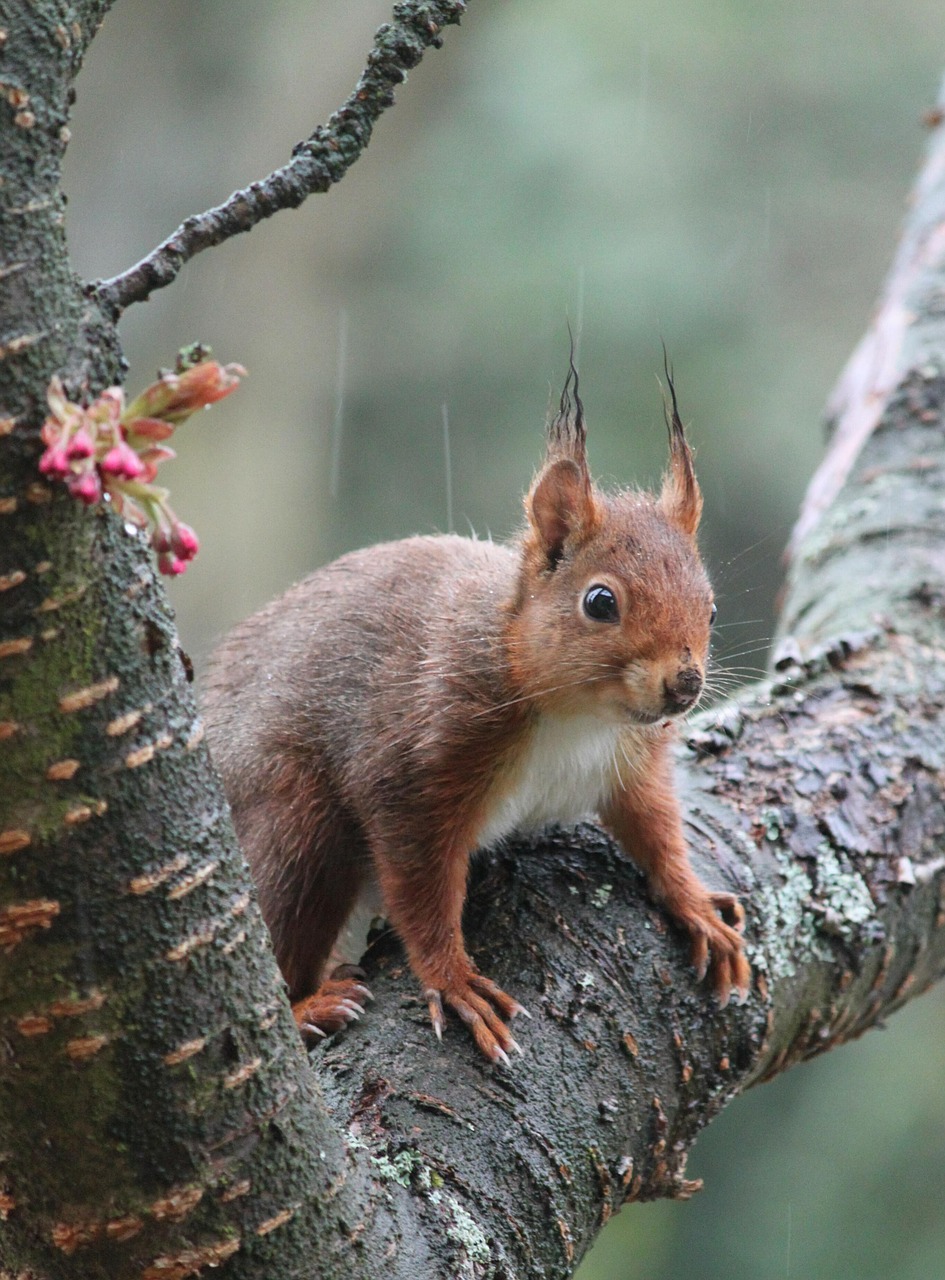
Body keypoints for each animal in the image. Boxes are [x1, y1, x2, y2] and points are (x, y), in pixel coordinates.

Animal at [201, 360, 752, 1059]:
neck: (578, 717)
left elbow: (655, 829)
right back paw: (307, 1008)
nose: (685, 684)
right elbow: (421, 888)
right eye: (600, 602)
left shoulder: (631, 764)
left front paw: (695, 904)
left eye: (711, 607)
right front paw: (454, 980)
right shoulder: (417, 762)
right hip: (289, 819)